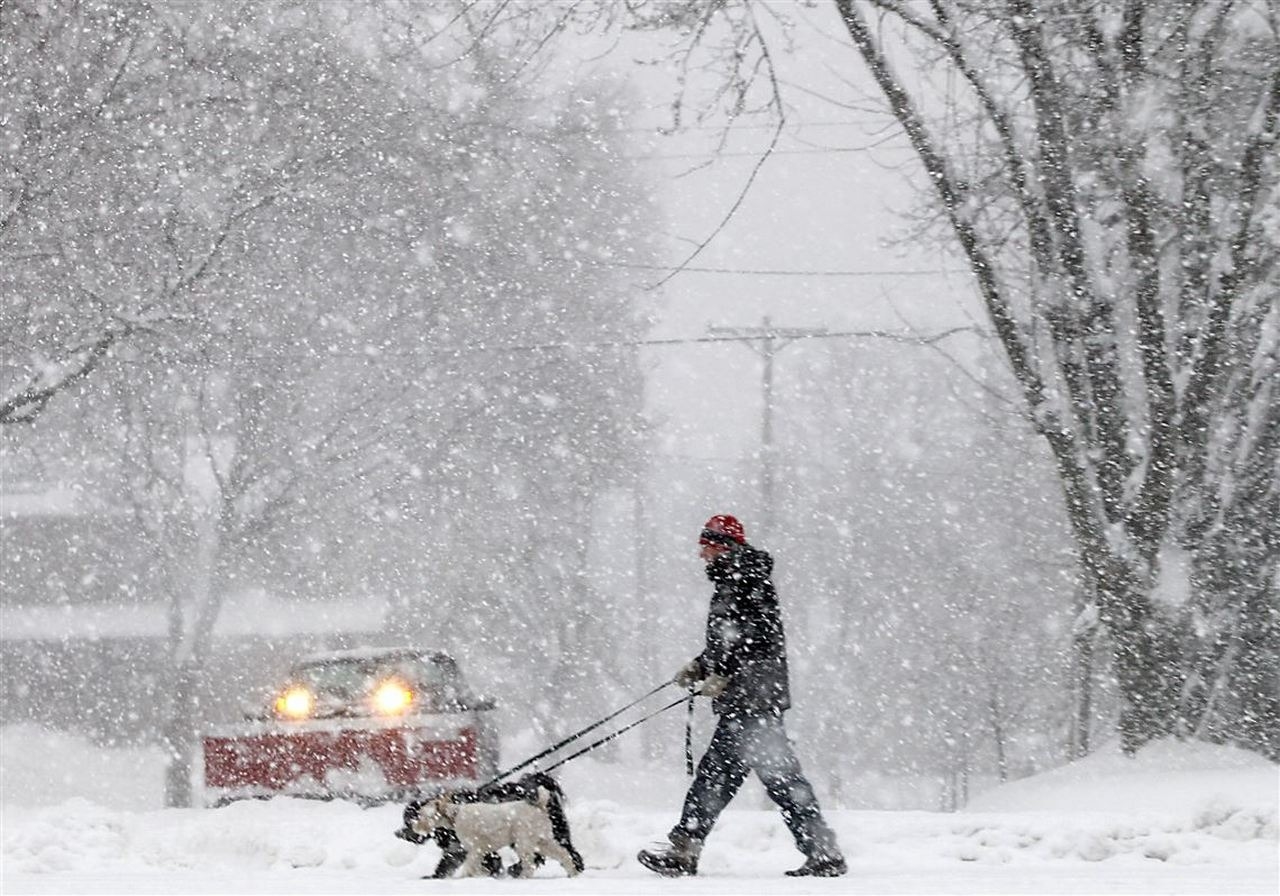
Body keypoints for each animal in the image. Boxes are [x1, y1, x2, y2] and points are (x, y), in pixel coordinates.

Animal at [414, 788, 581, 880]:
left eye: (422, 815)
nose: (415, 826)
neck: (455, 815)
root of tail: (539, 806)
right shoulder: (480, 852)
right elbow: (479, 867)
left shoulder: (476, 849)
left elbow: (470, 866)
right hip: (543, 841)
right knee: (564, 854)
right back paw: (572, 873)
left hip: (523, 843)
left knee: (529, 864)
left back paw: (522, 877)